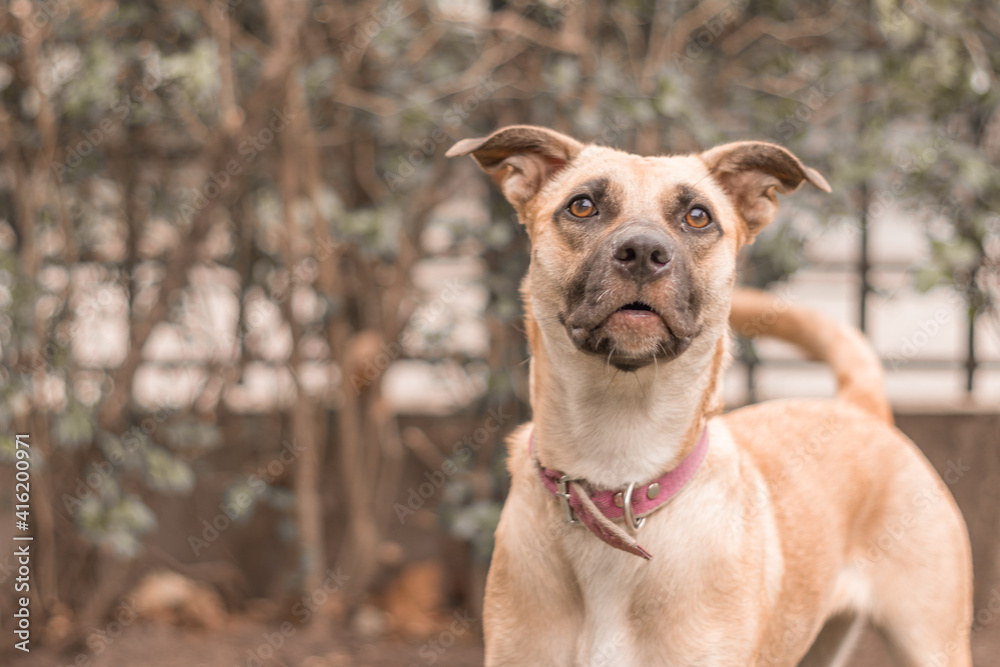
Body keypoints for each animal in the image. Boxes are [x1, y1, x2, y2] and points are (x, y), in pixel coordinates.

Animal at [446, 126, 968, 667]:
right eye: (582, 206)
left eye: (698, 216)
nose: (642, 251)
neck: (619, 470)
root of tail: (857, 406)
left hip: (933, 642)